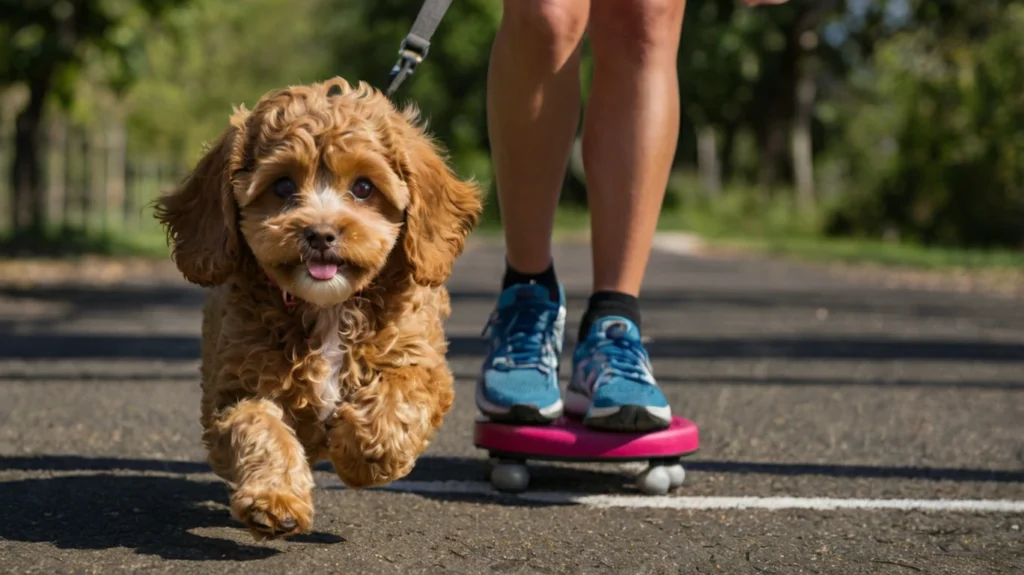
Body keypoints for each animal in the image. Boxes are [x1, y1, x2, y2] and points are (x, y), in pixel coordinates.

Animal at [153, 78, 481, 540]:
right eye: (282, 186)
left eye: (364, 187)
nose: (321, 234)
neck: (328, 309)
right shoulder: (237, 384)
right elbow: (258, 427)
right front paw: (273, 500)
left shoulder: (421, 362)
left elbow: (395, 403)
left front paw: (359, 457)